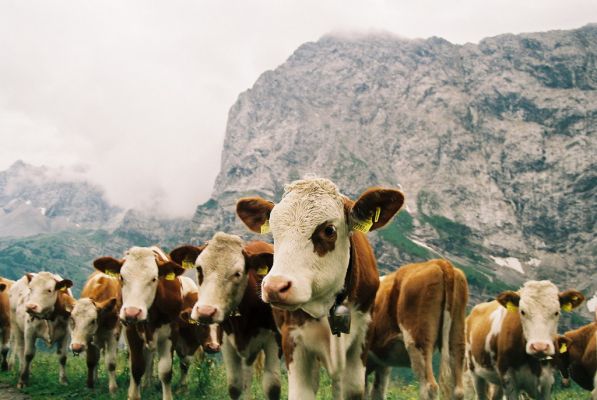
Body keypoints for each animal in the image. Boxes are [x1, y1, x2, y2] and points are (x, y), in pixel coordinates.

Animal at [92, 247, 185, 400]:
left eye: (154, 279)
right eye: (121, 277)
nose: (132, 312)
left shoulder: (173, 331)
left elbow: (165, 372)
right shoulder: (131, 331)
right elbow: (136, 367)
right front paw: (134, 395)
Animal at [168, 233, 280, 398]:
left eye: (238, 273)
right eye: (199, 268)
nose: (205, 312)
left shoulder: (274, 339)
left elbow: (272, 387)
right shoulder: (227, 342)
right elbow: (235, 386)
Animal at [235, 178, 402, 400]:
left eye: (329, 230)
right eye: (274, 232)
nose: (274, 287)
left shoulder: (362, 337)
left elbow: (353, 390)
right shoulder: (293, 339)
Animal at [366, 260, 468, 400]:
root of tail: (439, 262)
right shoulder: (382, 364)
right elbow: (377, 392)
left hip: (418, 340)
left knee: (430, 387)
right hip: (456, 337)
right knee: (458, 390)